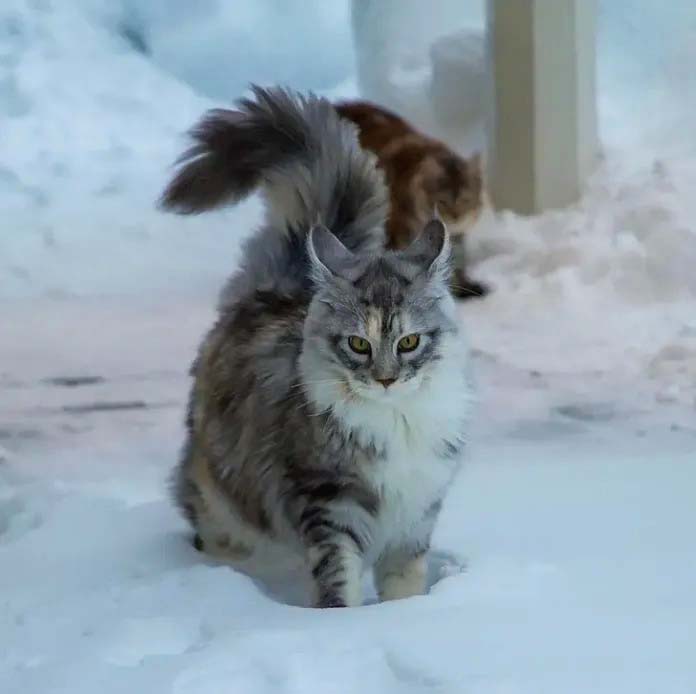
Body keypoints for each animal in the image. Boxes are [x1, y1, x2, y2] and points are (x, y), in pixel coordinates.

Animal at [160, 85, 470, 608]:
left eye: (408, 341)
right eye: (358, 344)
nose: (386, 379)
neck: (397, 422)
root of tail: (277, 287)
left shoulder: (416, 514)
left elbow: (404, 585)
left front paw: (404, 616)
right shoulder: (329, 504)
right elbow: (338, 581)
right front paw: (341, 621)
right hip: (223, 502)